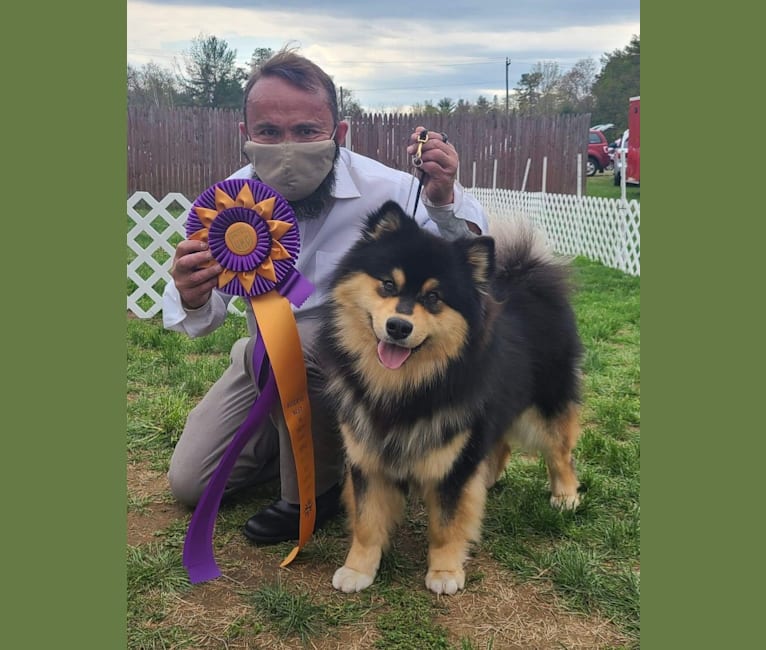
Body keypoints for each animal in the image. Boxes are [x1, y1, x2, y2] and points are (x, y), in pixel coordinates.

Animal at [320, 201, 584, 592]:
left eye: (433, 298)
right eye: (387, 285)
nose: (398, 327)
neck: (401, 388)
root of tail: (525, 275)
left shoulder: (453, 460)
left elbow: (446, 524)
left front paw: (444, 572)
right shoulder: (367, 456)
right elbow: (367, 523)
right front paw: (358, 569)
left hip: (545, 405)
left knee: (559, 453)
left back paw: (565, 495)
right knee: (499, 446)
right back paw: (487, 481)